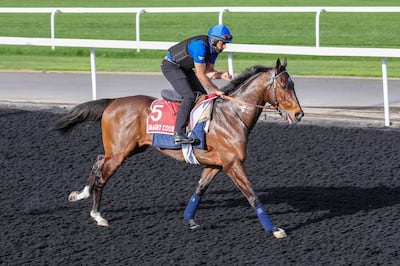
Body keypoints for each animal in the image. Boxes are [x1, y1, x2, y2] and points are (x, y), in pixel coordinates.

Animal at [55, 58, 304, 239]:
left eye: (293, 85)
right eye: (284, 85)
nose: (299, 114)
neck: (233, 114)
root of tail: (113, 102)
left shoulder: (217, 163)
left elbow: (200, 189)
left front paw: (190, 219)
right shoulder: (233, 163)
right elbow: (252, 196)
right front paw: (275, 229)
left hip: (130, 148)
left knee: (99, 160)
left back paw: (81, 194)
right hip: (119, 152)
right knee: (102, 176)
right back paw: (97, 214)